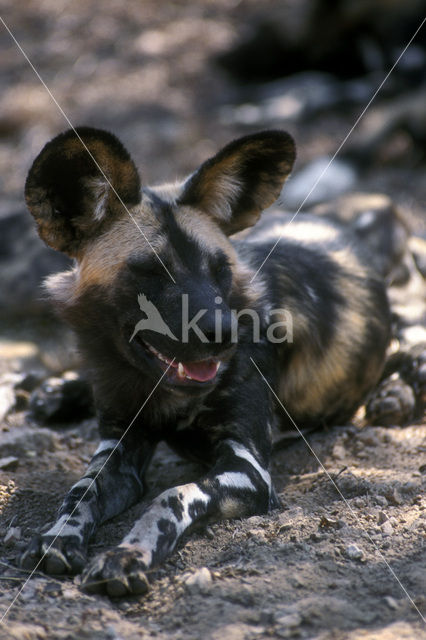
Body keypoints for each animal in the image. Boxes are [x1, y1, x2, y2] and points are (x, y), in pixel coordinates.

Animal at [21, 127, 392, 596]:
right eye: (153, 272)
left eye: (220, 270)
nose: (223, 332)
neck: (160, 389)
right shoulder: (118, 448)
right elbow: (79, 492)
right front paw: (57, 536)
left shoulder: (248, 469)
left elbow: (172, 496)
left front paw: (128, 555)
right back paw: (58, 393)